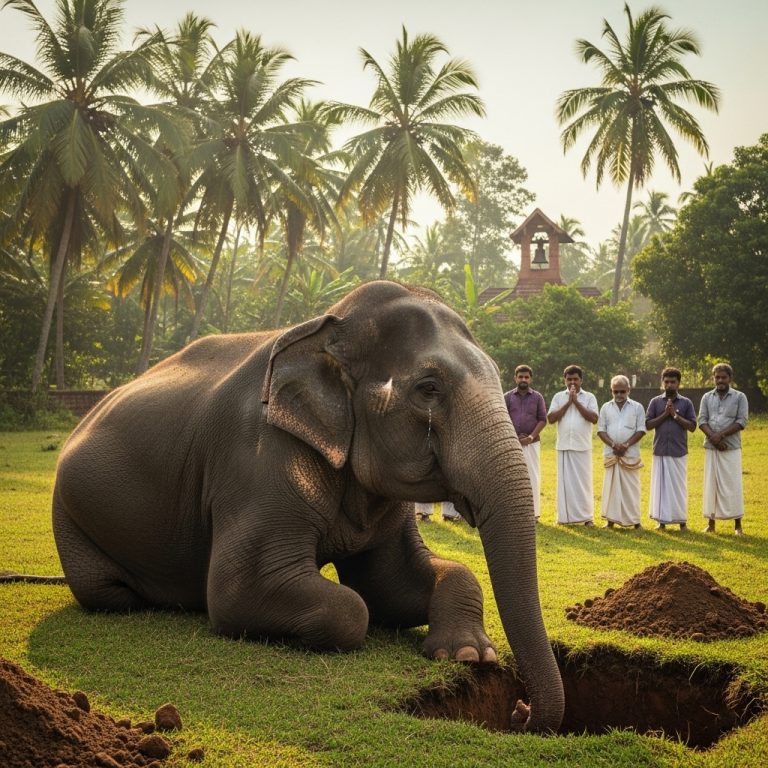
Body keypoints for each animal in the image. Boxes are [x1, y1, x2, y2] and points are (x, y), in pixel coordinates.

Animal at [51, 280, 564, 733]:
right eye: (429, 388)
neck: (325, 327)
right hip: (71, 520)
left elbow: (390, 583)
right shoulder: (257, 463)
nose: (519, 712)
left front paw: (468, 654)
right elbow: (266, 596)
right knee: (110, 594)